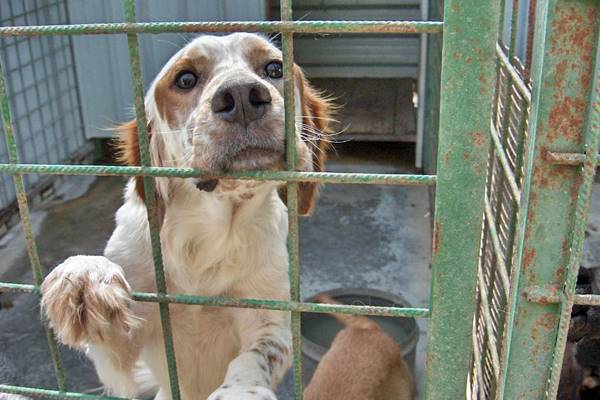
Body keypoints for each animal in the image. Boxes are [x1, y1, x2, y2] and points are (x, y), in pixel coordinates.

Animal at [40, 34, 336, 400]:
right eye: (185, 79)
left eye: (273, 68)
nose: (242, 96)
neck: (212, 233)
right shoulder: (124, 358)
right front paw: (85, 274)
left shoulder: (270, 320)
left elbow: (256, 356)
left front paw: (241, 391)